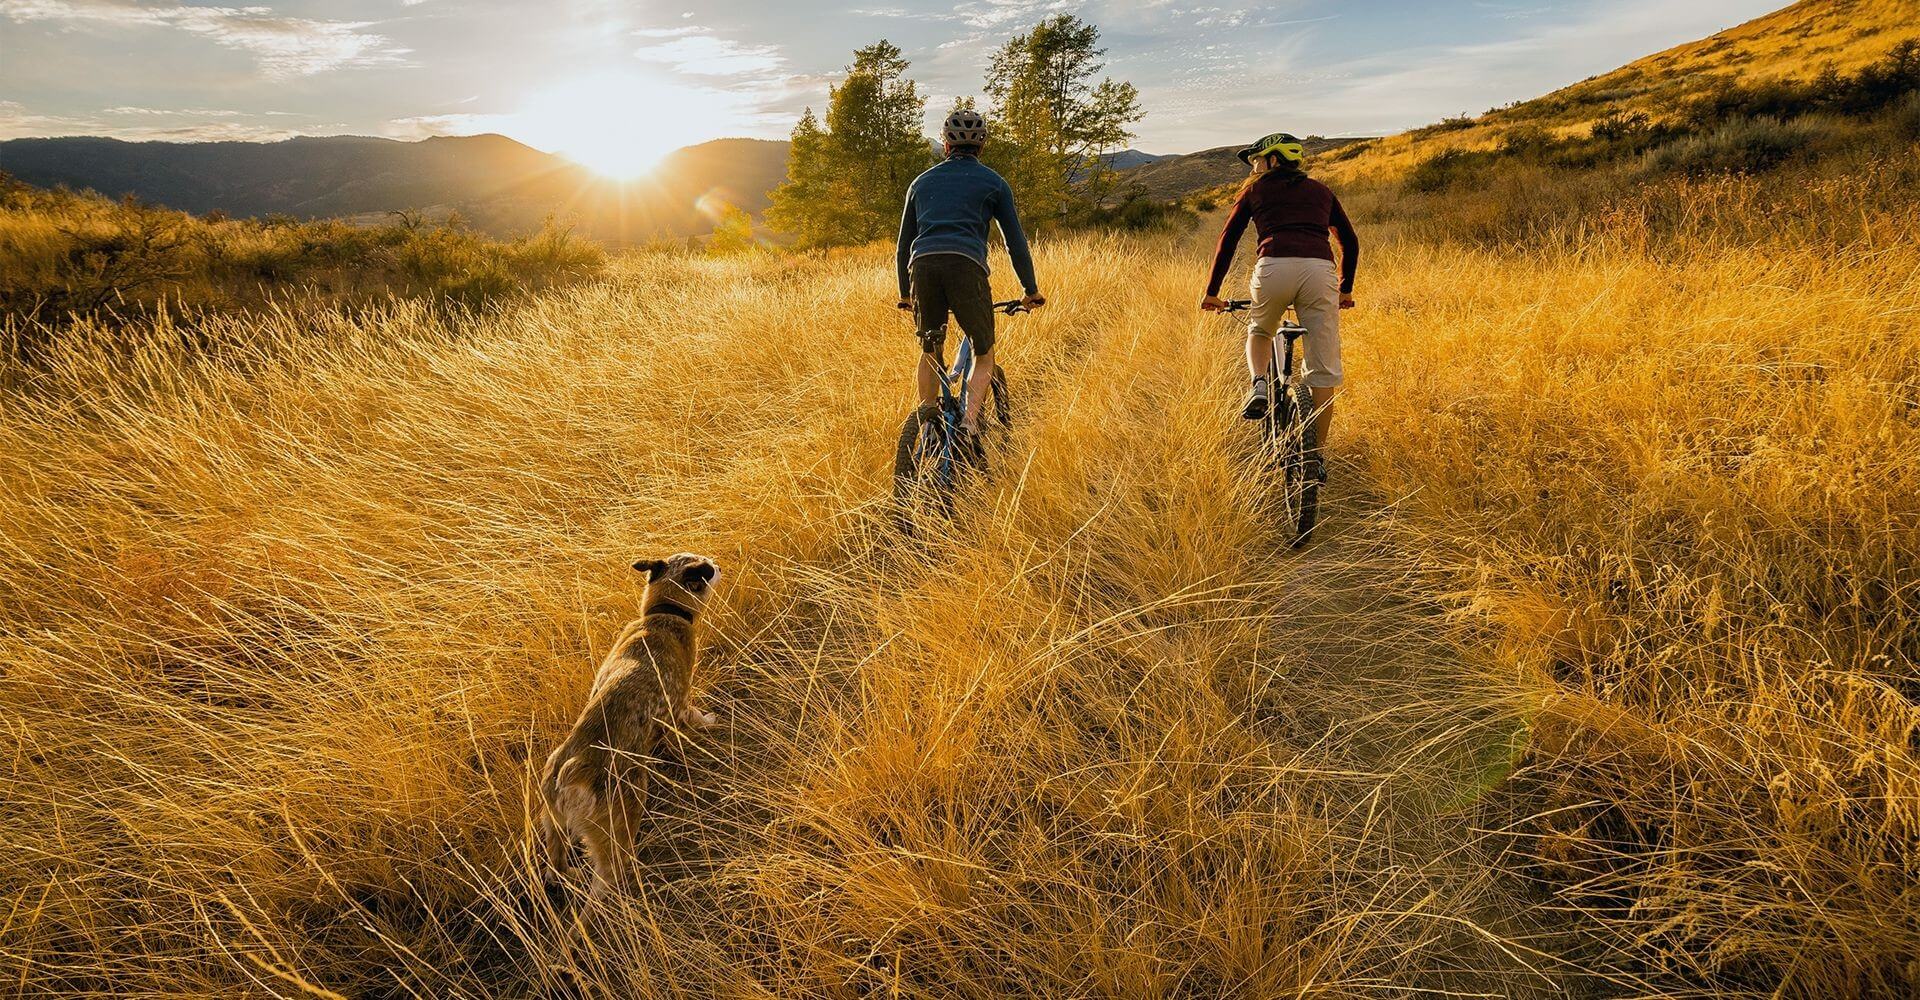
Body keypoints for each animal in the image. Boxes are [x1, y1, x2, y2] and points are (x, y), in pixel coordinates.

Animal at [537, 552, 718, 890]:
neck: (661, 615)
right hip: (621, 823)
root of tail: (572, 768)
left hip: (553, 823)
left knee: (555, 867)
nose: (718, 564)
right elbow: (695, 719)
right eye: (706, 568)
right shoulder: (681, 705)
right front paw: (709, 722)